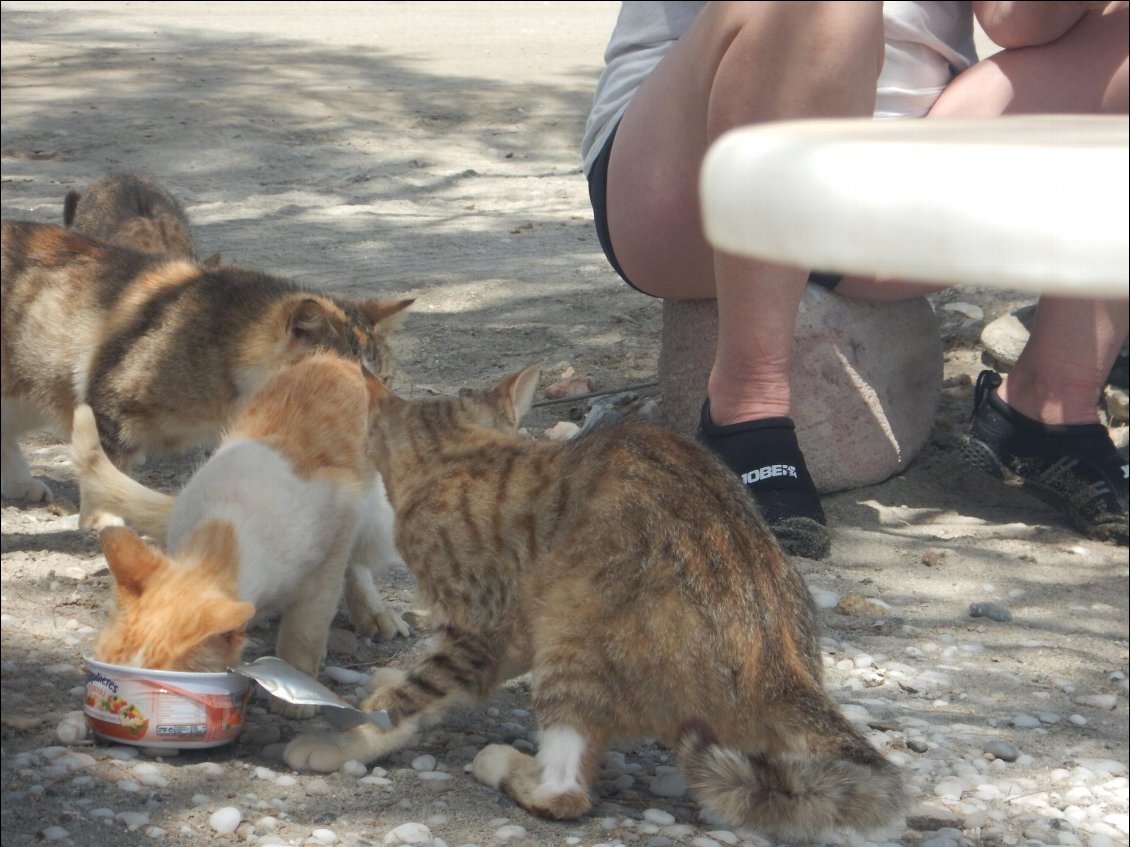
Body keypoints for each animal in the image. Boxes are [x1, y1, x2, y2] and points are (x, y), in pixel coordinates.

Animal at [81, 352, 413, 718]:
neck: (223, 535)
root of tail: (336, 359)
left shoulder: (327, 558)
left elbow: (305, 631)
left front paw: (295, 693)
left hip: (378, 522)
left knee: (358, 562)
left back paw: (373, 612)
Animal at [284, 365, 908, 844]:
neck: (461, 456)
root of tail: (781, 666)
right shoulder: (518, 627)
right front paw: (385, 685)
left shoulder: (484, 625)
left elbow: (419, 693)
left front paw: (348, 740)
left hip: (575, 632)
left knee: (565, 791)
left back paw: (505, 765)